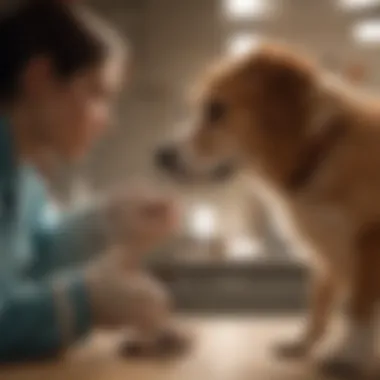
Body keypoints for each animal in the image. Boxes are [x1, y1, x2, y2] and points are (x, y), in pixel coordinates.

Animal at [155, 43, 380, 376]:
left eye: (215, 110)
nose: (159, 156)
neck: (319, 151)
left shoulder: (368, 240)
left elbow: (359, 308)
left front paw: (349, 355)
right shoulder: (325, 253)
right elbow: (318, 301)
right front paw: (302, 343)